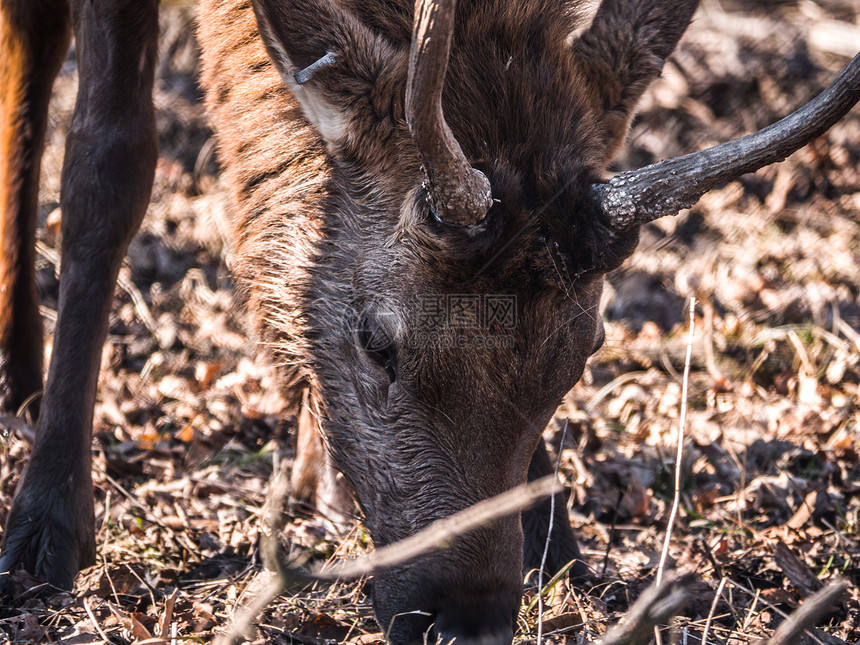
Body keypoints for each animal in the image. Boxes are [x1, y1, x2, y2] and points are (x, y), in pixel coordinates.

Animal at [1, 0, 860, 640]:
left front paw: (555, 537)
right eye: (376, 340)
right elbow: (105, 170)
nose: (468, 620)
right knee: (32, 46)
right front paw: (46, 521)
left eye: (583, 349)